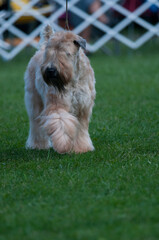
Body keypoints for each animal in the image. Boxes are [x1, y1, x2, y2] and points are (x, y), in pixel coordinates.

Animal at [23, 25, 95, 154]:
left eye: (66, 53)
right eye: (48, 52)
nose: (51, 70)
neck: (73, 80)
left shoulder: (83, 108)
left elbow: (81, 129)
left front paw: (82, 148)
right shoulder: (58, 104)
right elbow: (61, 122)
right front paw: (63, 144)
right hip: (34, 102)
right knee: (36, 124)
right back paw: (37, 145)